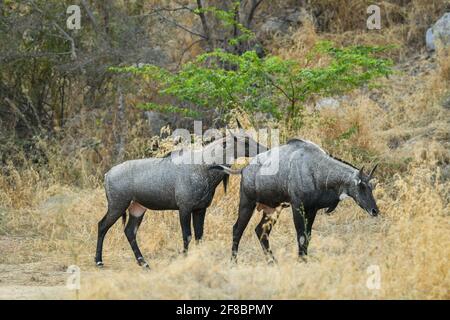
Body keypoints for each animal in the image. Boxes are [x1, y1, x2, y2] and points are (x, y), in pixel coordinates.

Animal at [93, 122, 266, 268]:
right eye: (245, 142)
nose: (263, 149)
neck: (203, 166)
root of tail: (107, 174)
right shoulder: (184, 208)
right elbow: (187, 235)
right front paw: (184, 257)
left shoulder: (200, 209)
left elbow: (199, 235)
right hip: (117, 205)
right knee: (102, 225)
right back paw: (99, 261)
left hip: (137, 208)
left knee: (130, 231)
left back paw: (144, 263)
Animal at [211, 139, 380, 262]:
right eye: (361, 186)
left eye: (372, 186)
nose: (375, 211)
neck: (316, 169)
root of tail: (245, 169)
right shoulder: (298, 207)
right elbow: (301, 236)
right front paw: (301, 261)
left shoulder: (312, 210)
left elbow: (308, 236)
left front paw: (304, 259)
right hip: (247, 203)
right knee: (237, 229)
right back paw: (234, 262)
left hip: (273, 209)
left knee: (260, 231)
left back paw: (273, 262)